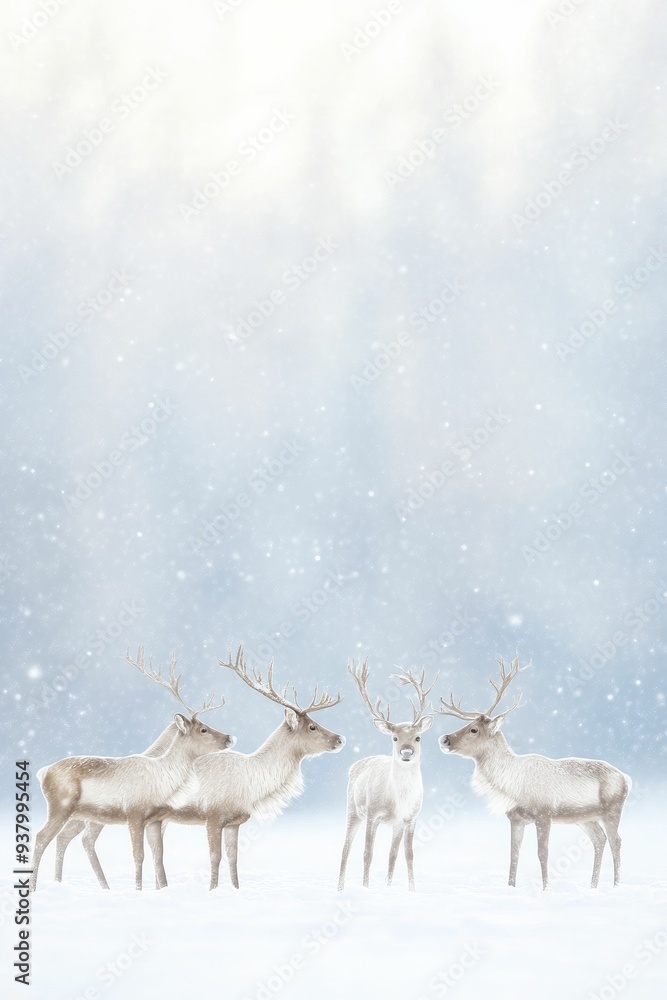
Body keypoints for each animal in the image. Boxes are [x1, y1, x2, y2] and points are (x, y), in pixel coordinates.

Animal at [30, 647, 234, 891]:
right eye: (203, 729)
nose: (229, 737)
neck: (162, 778)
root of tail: (43, 771)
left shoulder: (155, 819)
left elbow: (158, 855)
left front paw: (162, 889)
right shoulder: (134, 813)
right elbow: (138, 855)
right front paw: (138, 890)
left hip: (82, 815)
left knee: (66, 839)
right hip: (60, 806)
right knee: (42, 838)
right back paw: (34, 887)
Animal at [143, 646, 345, 891]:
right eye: (312, 726)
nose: (340, 739)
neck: (252, 785)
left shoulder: (234, 821)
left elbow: (233, 858)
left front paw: (236, 889)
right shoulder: (213, 815)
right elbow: (215, 857)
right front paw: (212, 890)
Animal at [337, 659, 437, 892]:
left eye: (418, 737)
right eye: (394, 737)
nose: (406, 752)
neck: (399, 799)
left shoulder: (409, 818)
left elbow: (403, 855)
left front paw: (408, 889)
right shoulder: (373, 813)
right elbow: (368, 853)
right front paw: (366, 888)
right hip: (353, 809)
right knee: (345, 850)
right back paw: (340, 888)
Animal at [436, 655, 632, 889]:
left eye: (474, 729)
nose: (444, 739)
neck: (511, 785)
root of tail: (627, 778)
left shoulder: (544, 813)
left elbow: (542, 853)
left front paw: (546, 888)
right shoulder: (515, 818)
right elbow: (514, 855)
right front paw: (511, 887)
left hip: (612, 809)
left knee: (616, 841)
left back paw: (616, 885)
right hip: (585, 818)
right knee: (599, 840)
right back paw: (592, 886)